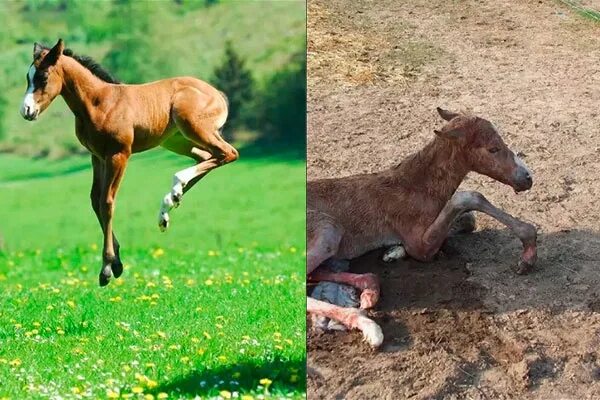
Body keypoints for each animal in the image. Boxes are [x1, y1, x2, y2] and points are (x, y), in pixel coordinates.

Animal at [21, 39, 238, 286]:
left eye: (43, 77)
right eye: (28, 77)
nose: (27, 111)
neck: (99, 102)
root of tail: (218, 94)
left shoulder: (119, 154)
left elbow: (107, 202)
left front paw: (106, 268)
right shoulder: (97, 156)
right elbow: (95, 201)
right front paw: (117, 263)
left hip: (193, 127)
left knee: (228, 153)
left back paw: (174, 191)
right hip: (176, 141)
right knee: (206, 157)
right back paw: (169, 205)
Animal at [308, 108, 536, 348]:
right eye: (492, 148)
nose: (527, 178)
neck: (417, 186)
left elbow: (468, 220)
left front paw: (394, 251)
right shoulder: (419, 246)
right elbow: (468, 197)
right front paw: (529, 249)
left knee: (316, 274)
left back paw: (369, 290)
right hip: (328, 230)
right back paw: (367, 324)